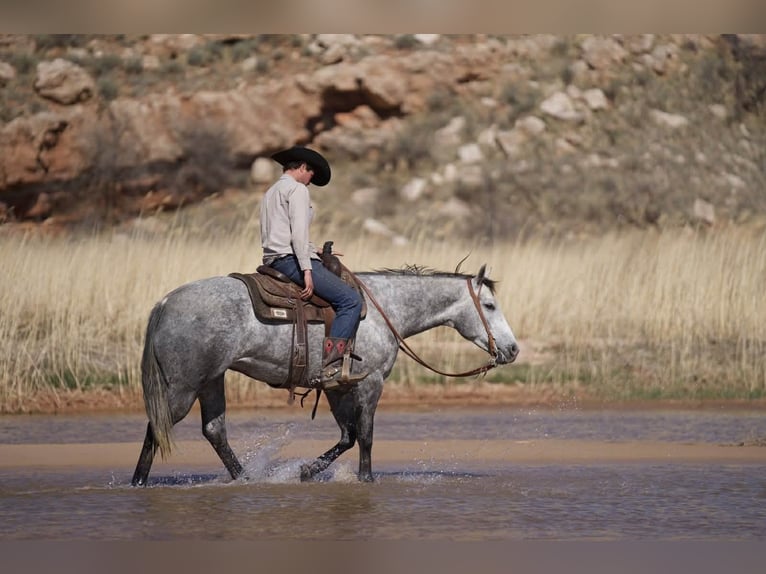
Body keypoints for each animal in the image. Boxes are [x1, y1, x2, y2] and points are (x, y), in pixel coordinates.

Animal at [131, 264, 519, 485]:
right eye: (489, 305)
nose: (513, 349)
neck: (385, 308)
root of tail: (165, 303)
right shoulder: (371, 384)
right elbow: (365, 436)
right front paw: (366, 480)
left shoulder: (337, 388)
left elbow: (347, 436)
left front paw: (306, 471)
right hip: (183, 388)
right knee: (157, 429)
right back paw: (138, 482)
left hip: (212, 381)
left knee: (214, 431)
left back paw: (246, 479)